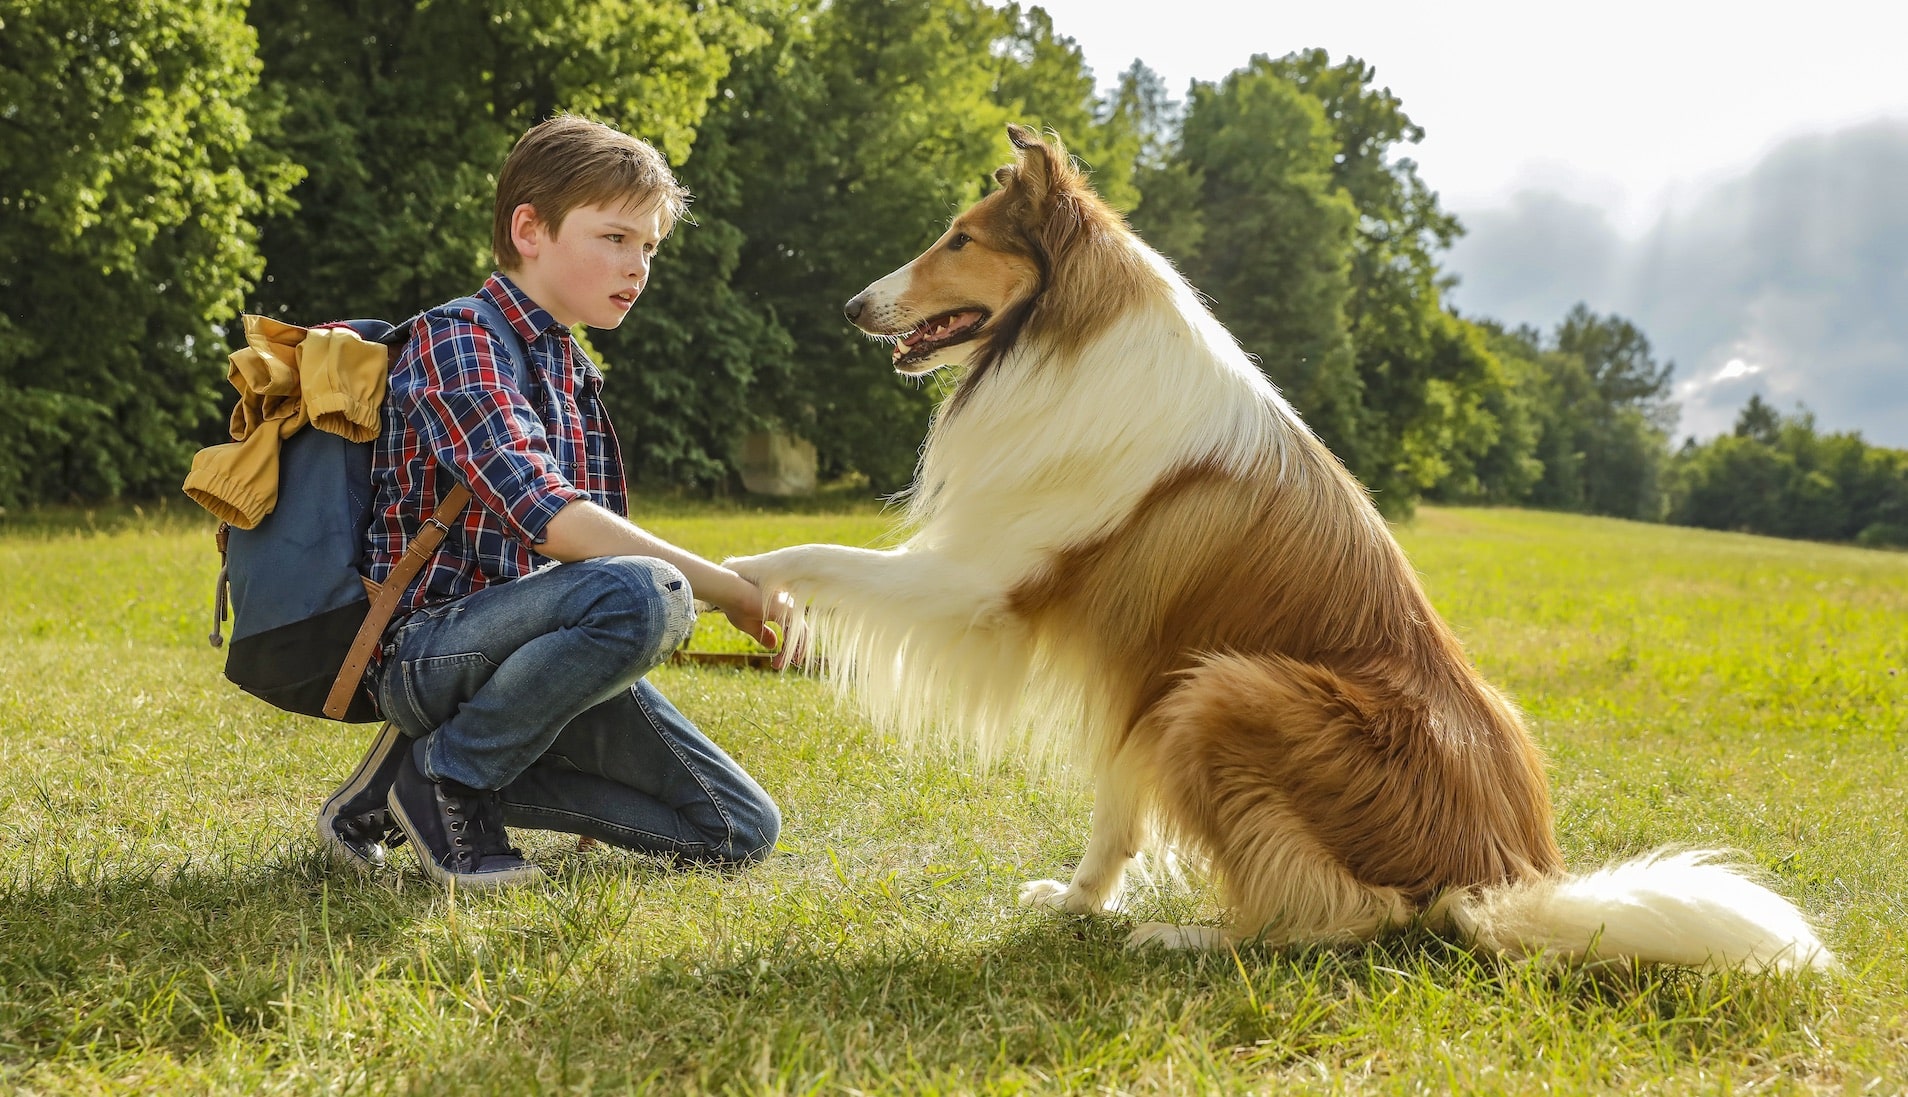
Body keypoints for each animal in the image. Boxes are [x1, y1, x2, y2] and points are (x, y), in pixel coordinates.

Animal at [721, 124, 1824, 972]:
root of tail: (1499, 872)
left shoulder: (987, 587)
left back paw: (1190, 936)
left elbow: (818, 553)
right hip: (1212, 693)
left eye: (958, 238)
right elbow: (1114, 812)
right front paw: (1077, 902)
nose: (850, 306)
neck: (1066, 339)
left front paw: (734, 577)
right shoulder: (1137, 674)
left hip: (1223, 689)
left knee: (1346, 917)